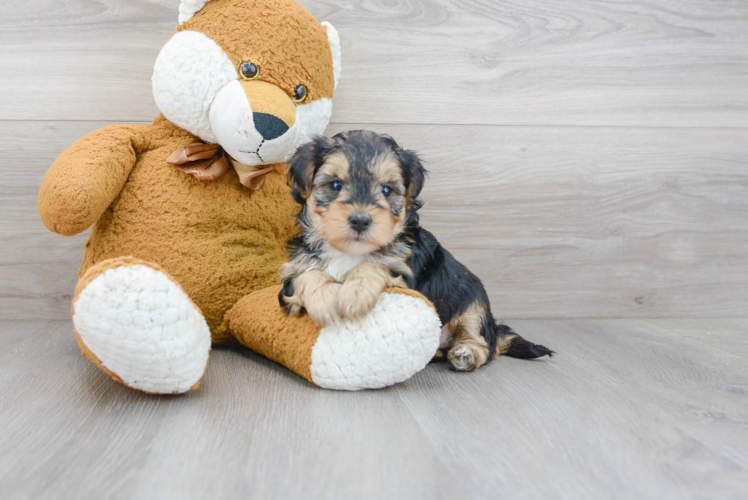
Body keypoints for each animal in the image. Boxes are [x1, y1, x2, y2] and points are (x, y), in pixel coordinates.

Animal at [278, 129, 552, 372]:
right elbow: (308, 275)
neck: (350, 252)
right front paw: (324, 300)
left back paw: (466, 353)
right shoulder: (293, 273)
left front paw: (355, 294)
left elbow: (376, 264)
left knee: (482, 341)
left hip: (474, 301)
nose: (360, 220)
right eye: (335, 185)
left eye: (387, 190)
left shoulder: (406, 274)